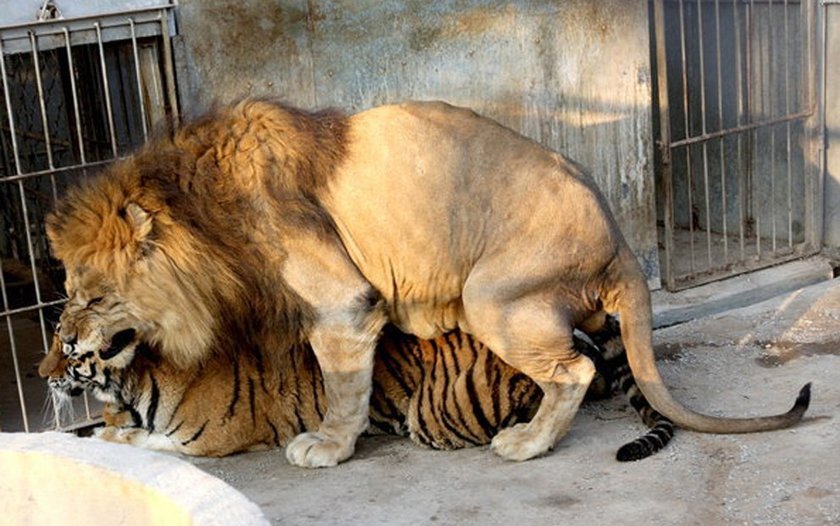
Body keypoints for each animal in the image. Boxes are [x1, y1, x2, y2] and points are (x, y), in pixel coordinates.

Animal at [46, 99, 811, 468]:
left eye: (92, 295)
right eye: (69, 294)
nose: (61, 348)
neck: (205, 218)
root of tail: (622, 239)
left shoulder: (342, 305)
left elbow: (341, 387)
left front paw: (327, 447)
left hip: (492, 295)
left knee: (575, 369)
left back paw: (528, 443)